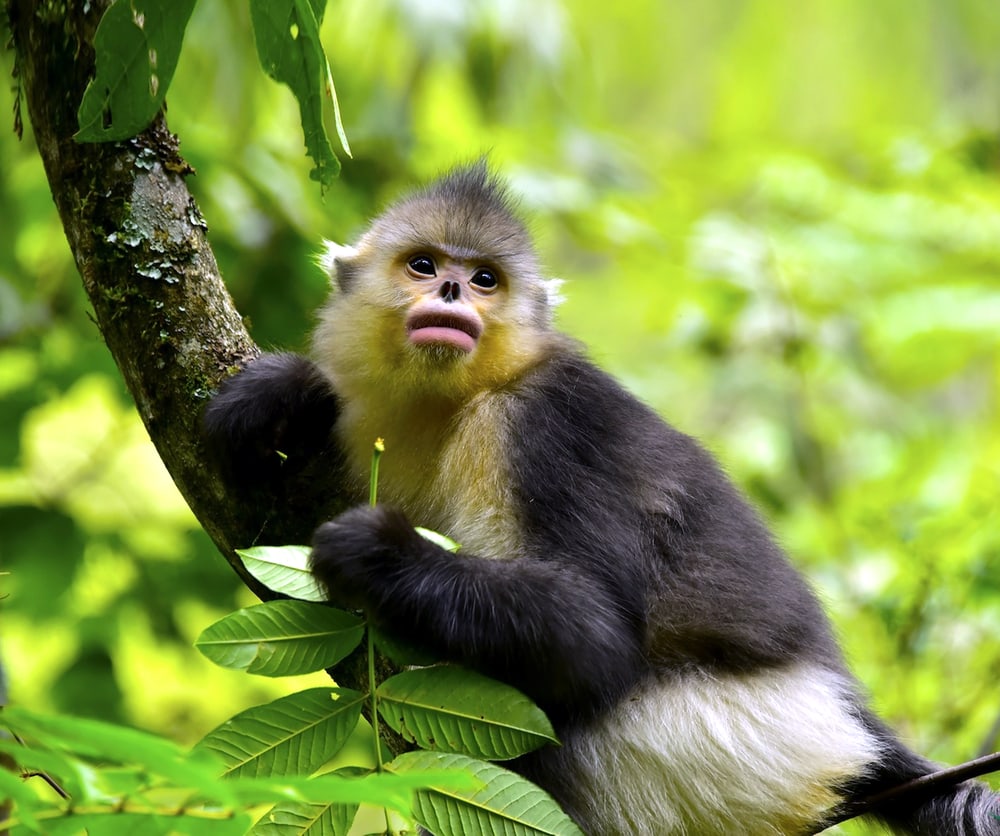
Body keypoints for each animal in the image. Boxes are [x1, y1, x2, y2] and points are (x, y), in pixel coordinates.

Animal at [203, 163, 999, 835]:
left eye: (485, 279)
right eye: (424, 265)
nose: (452, 292)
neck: (457, 401)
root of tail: (845, 727)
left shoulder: (538, 424)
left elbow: (594, 638)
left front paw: (376, 553)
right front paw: (280, 395)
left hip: (713, 747)